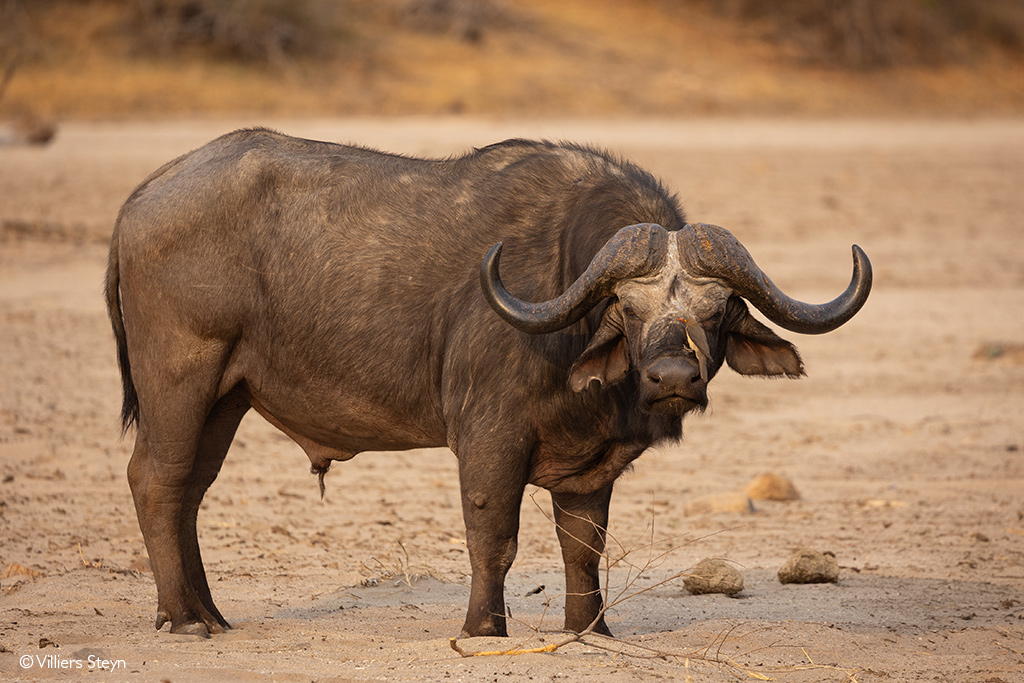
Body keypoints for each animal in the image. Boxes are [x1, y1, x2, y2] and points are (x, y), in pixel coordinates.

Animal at [105, 129, 872, 643]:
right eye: (628, 308)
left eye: (715, 311)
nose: (673, 377)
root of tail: (143, 195)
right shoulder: (488, 439)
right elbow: (493, 535)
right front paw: (484, 628)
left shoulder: (592, 468)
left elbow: (582, 545)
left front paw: (590, 630)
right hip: (182, 376)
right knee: (156, 479)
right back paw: (184, 619)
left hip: (226, 397)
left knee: (190, 491)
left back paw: (206, 611)